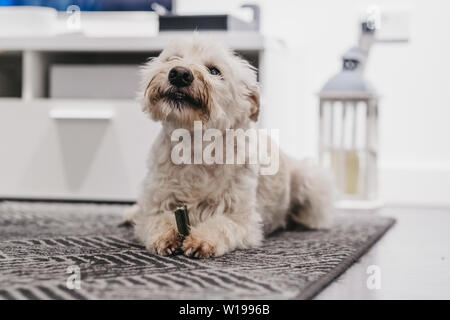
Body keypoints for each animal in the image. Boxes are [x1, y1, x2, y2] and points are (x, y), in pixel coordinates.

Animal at [123, 38, 334, 258]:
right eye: (173, 58)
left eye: (214, 71)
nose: (179, 73)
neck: (195, 147)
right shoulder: (155, 205)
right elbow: (155, 219)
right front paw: (164, 236)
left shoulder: (242, 219)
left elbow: (222, 225)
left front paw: (201, 240)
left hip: (311, 179)